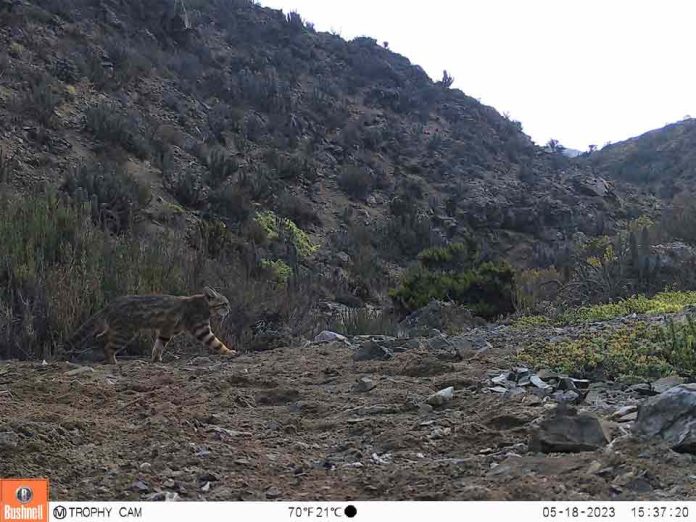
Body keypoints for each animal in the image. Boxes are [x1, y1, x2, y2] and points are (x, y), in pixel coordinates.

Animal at [68, 284, 237, 362]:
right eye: (224, 304)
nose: (230, 309)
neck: (203, 305)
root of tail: (110, 305)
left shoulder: (167, 330)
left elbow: (159, 345)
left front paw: (156, 358)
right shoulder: (201, 329)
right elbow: (217, 343)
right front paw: (229, 351)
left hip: (118, 330)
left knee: (101, 337)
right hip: (126, 333)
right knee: (109, 346)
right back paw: (112, 361)